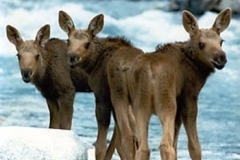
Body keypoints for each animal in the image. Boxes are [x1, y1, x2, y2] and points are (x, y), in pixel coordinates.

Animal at [128, 8, 232, 160]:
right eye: (201, 44)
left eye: (221, 41)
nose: (221, 58)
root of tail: (150, 71)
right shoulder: (189, 97)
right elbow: (195, 146)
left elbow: (177, 143)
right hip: (167, 104)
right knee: (165, 145)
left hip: (140, 106)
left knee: (143, 148)